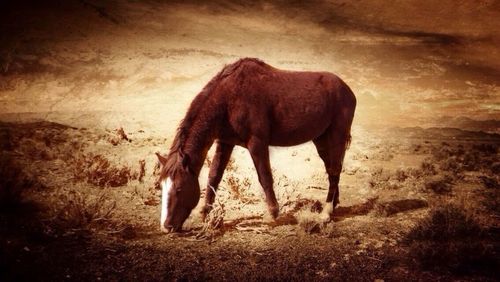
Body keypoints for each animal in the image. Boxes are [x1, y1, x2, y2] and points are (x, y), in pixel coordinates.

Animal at [156, 58, 356, 232]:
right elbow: (214, 176)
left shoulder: (257, 143)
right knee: (331, 169)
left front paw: (273, 213)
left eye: (179, 188)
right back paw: (334, 204)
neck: (229, 98)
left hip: (337, 137)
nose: (166, 227)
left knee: (334, 170)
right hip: (321, 140)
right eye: (162, 186)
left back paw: (326, 212)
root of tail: (347, 90)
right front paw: (205, 212)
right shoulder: (225, 142)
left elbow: (265, 177)